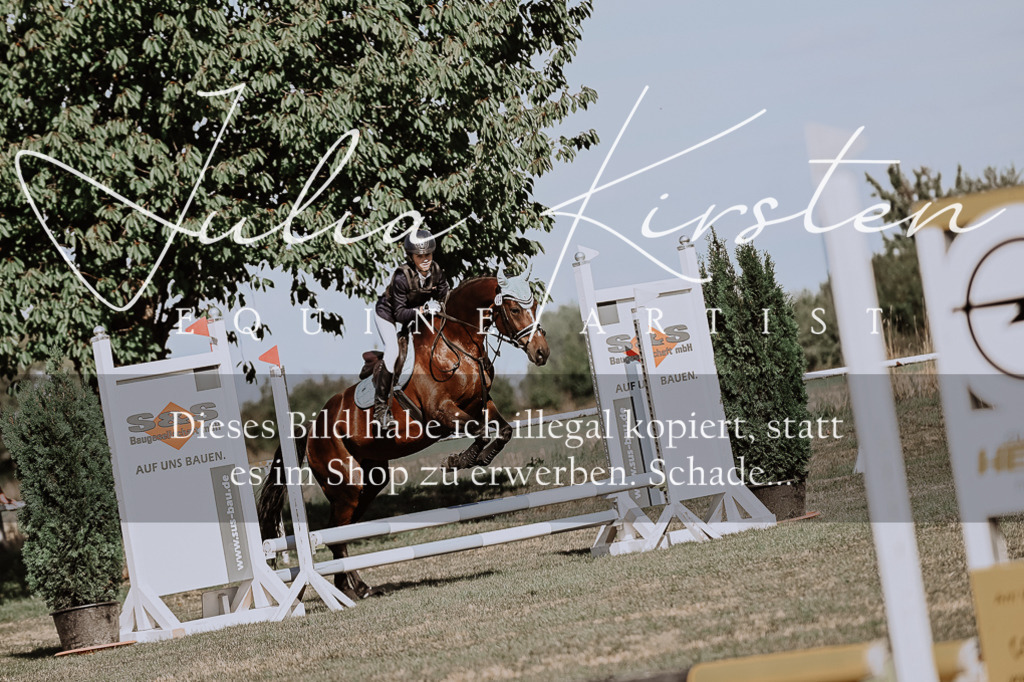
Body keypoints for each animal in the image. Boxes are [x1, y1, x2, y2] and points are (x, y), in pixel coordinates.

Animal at [258, 270, 549, 599]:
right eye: (514, 309)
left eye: (533, 304)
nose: (541, 352)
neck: (457, 344)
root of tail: (311, 430)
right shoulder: (441, 413)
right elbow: (481, 431)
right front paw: (458, 460)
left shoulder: (481, 405)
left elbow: (504, 431)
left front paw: (476, 458)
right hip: (346, 486)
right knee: (334, 534)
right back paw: (350, 589)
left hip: (370, 482)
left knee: (342, 533)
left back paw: (354, 586)